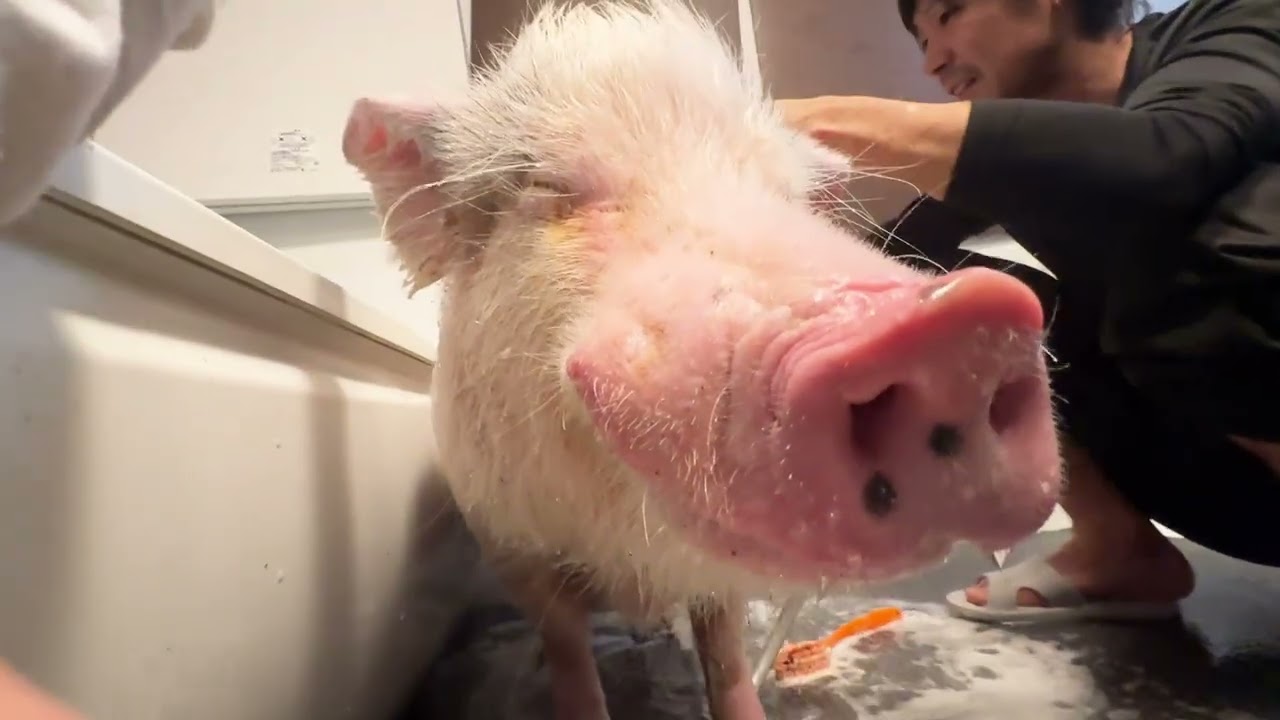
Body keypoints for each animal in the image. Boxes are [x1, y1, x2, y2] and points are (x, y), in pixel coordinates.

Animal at [341, 1, 1064, 718]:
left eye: (789, 197)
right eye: (550, 184)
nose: (955, 327)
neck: (628, 550)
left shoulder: (719, 580)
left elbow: (725, 649)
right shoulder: (510, 541)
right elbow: (569, 650)